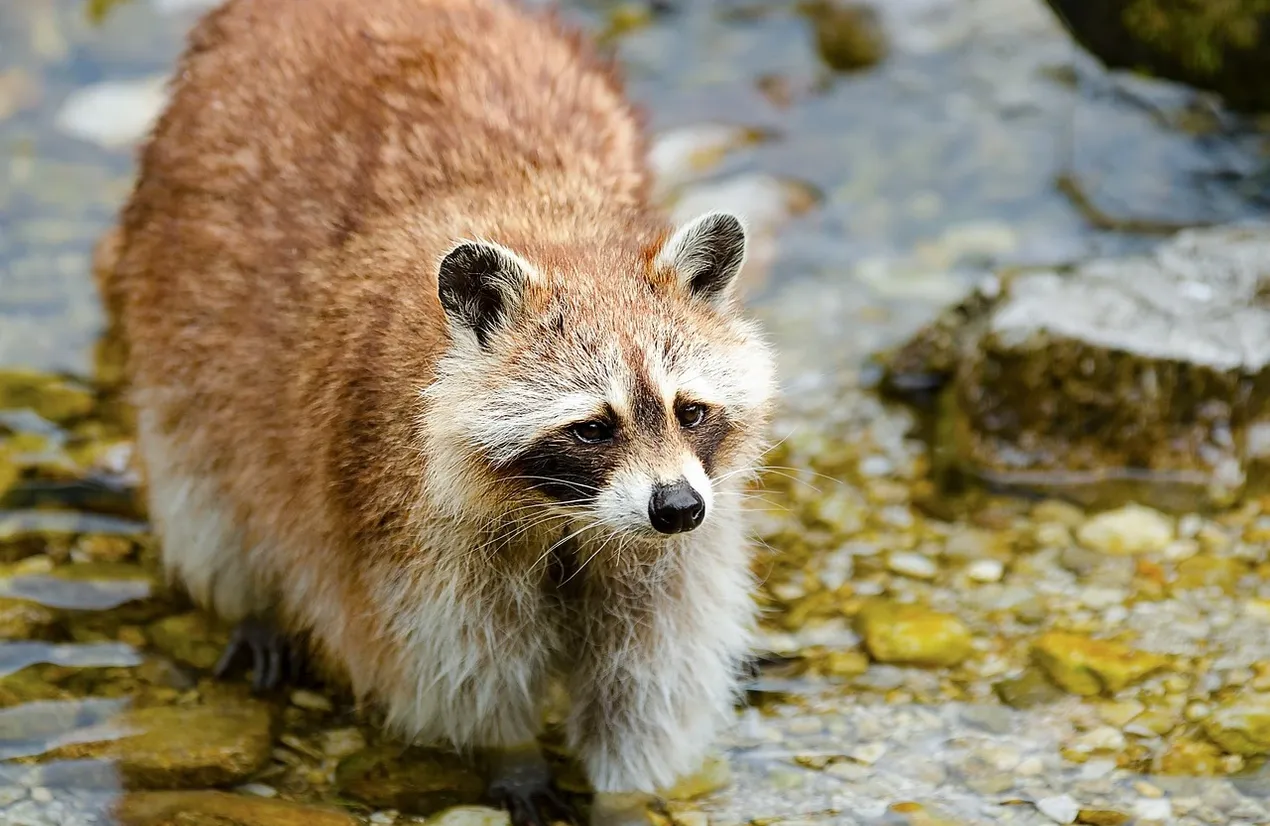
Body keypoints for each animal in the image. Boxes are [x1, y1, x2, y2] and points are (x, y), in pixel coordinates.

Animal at [100, 0, 777, 815]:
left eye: (690, 411)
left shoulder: (673, 552)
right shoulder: (397, 519)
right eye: (592, 427)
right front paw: (513, 755)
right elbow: (458, 667)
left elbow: (648, 679)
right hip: (184, 324)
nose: (677, 507)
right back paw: (251, 603)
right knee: (207, 488)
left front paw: (625, 798)